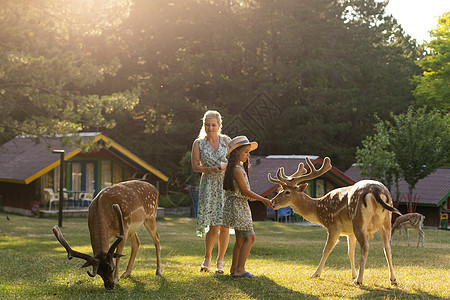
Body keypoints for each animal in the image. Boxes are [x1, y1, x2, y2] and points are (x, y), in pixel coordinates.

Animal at [268, 156, 402, 284]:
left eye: (287, 192)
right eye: (279, 190)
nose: (272, 202)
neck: (318, 209)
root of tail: (376, 191)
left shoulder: (333, 226)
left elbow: (326, 249)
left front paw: (315, 274)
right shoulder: (349, 232)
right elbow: (350, 252)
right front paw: (353, 274)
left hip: (358, 221)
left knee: (365, 246)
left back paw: (359, 280)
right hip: (387, 221)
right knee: (387, 246)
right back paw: (393, 279)